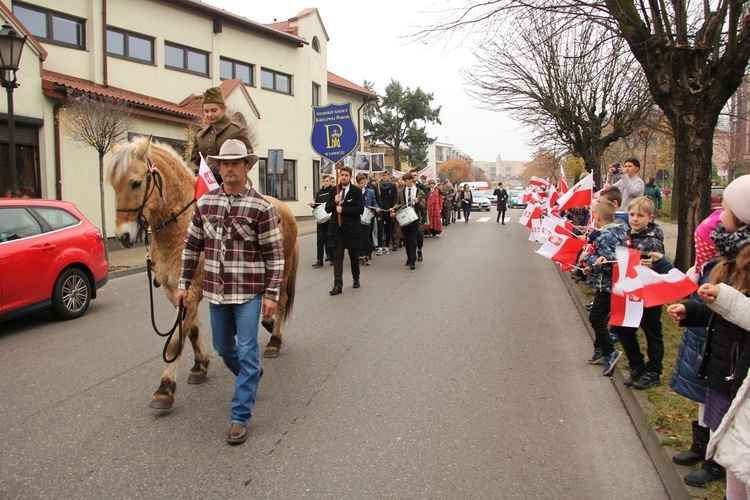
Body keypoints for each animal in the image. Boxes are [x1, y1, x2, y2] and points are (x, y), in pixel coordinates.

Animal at [108, 137, 300, 410]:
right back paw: (268, 323)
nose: (123, 236)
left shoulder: (190, 294)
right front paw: (200, 365)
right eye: (113, 184)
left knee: (280, 301)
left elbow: (175, 341)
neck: (180, 225)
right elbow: (191, 331)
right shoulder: (175, 292)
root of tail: (285, 209)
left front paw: (164, 389)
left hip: (281, 273)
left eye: (136, 182)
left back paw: (274, 341)